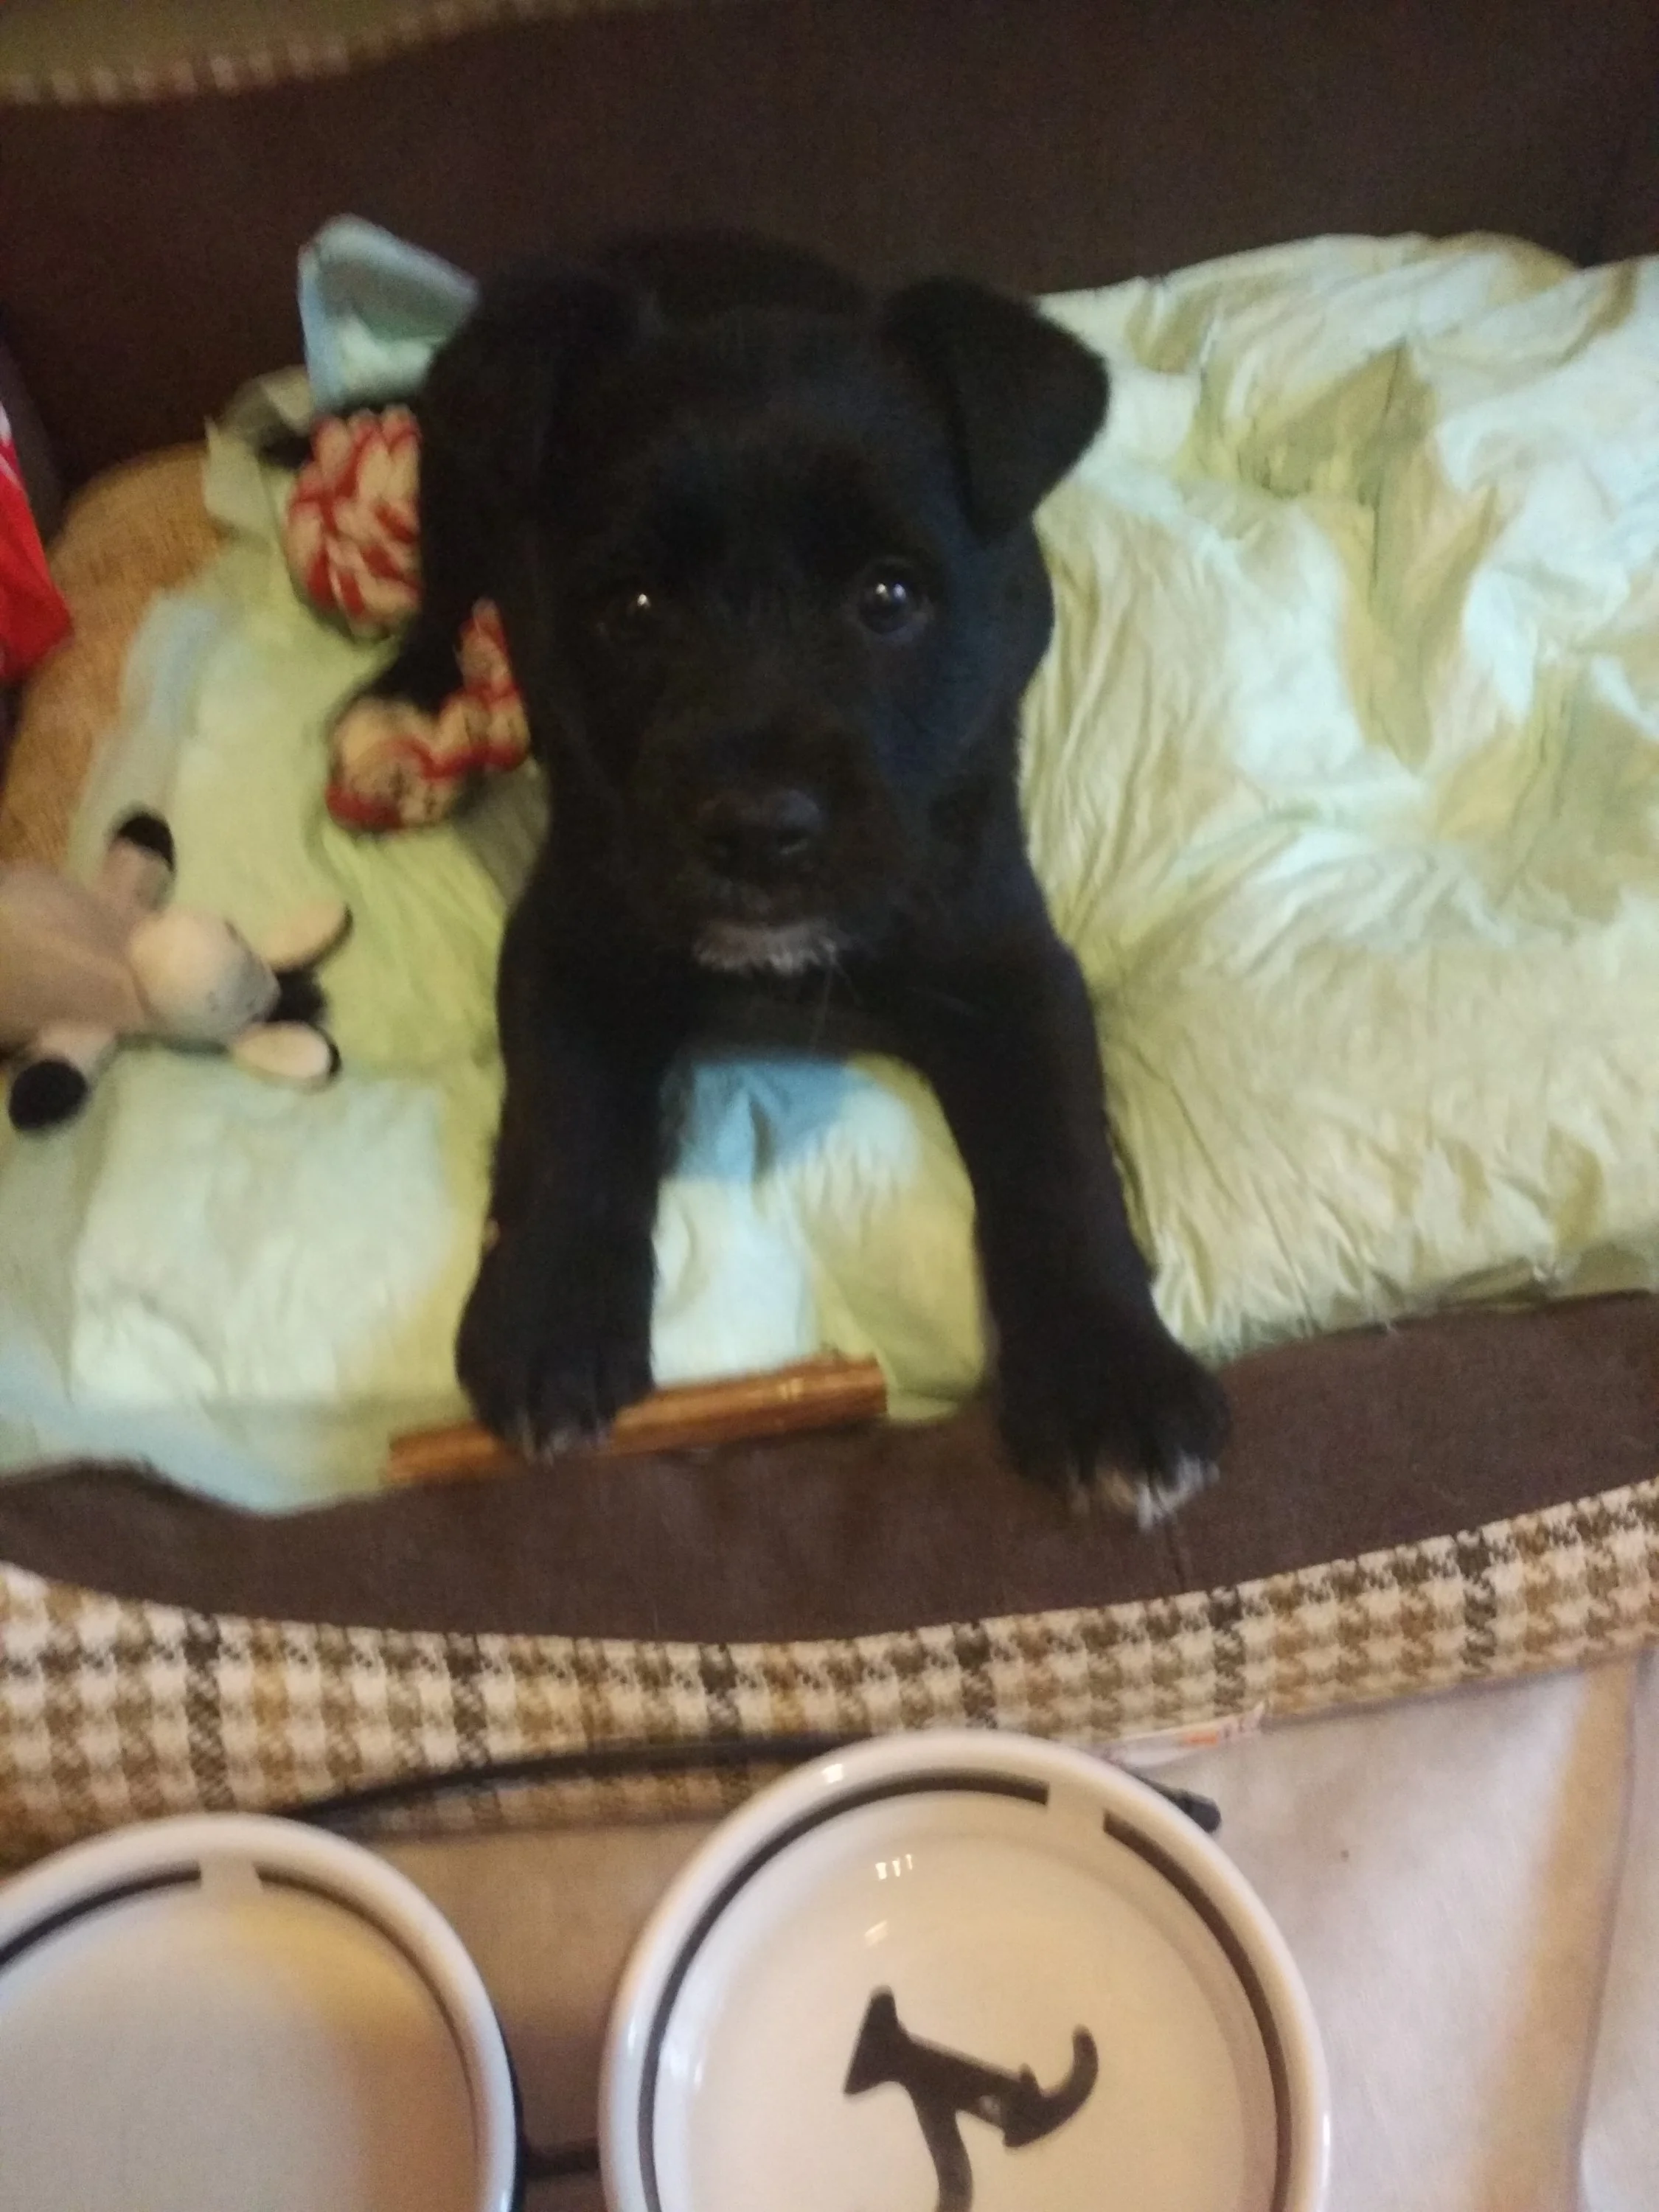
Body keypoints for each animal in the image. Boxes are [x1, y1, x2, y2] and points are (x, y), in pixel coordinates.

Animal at [366, 233, 1229, 1520]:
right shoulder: (574, 929)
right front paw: (547, 1313)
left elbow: (1059, 1156)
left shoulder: (1009, 960)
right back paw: (402, 708)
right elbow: (567, 1115)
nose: (758, 834)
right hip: (458, 488)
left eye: (890, 595)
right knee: (435, 596)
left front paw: (1110, 1378)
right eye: (631, 606)